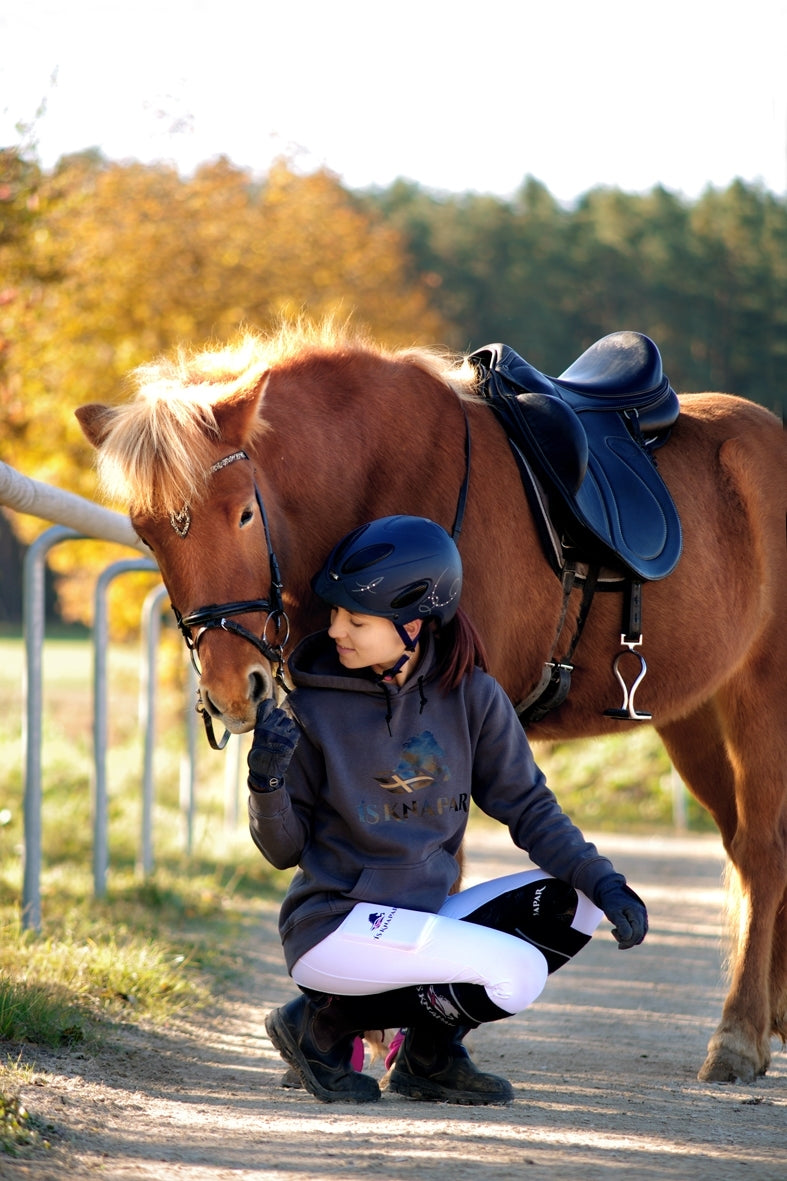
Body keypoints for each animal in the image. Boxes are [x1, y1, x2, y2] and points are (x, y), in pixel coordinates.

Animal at [75, 318, 784, 1081]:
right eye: (146, 532)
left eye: (240, 513)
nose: (235, 691)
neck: (378, 477)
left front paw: (409, 1043)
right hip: (695, 719)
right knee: (742, 845)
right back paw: (770, 1017)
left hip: (760, 697)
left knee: (761, 852)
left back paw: (737, 1035)